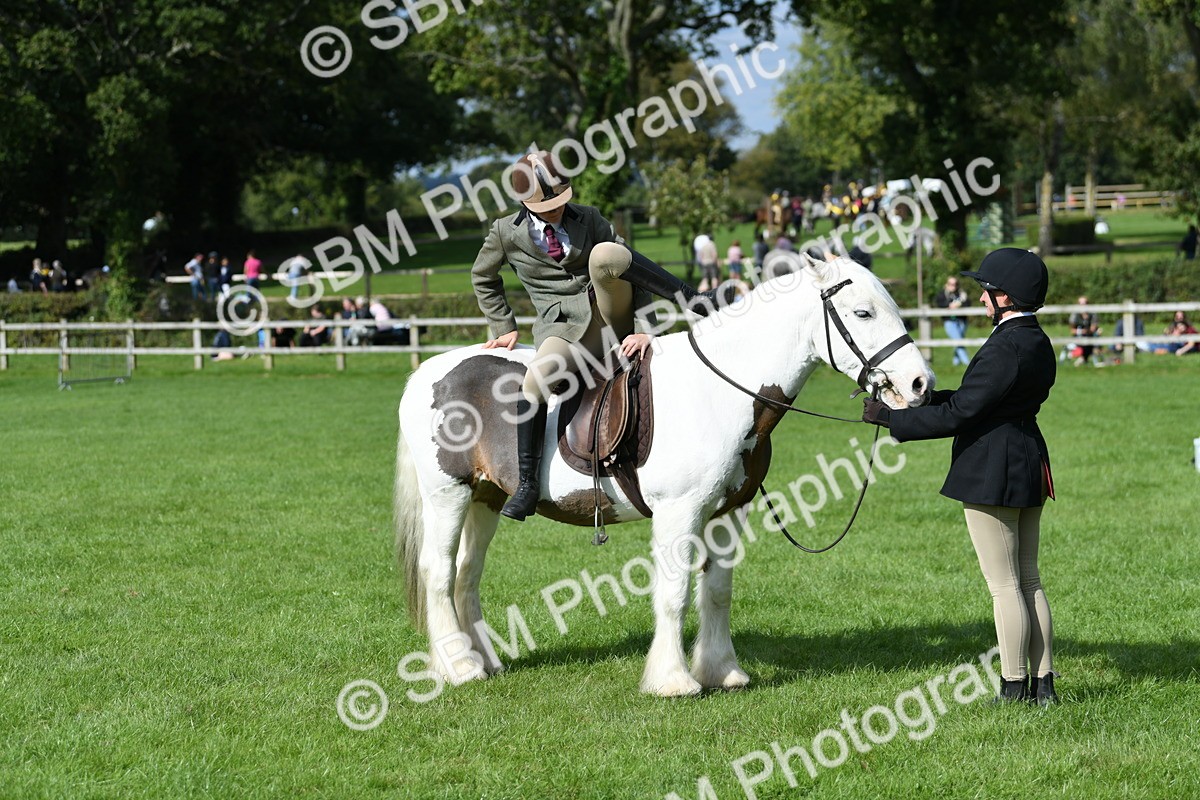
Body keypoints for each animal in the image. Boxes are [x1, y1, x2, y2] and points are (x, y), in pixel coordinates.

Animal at [394, 253, 935, 697]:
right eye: (863, 313)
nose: (920, 384)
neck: (719, 390)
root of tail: (427, 373)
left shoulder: (728, 513)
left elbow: (716, 592)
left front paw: (721, 672)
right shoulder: (679, 513)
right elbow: (674, 594)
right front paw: (672, 681)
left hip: (485, 498)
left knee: (467, 574)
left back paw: (483, 660)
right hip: (447, 495)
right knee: (439, 572)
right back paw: (459, 668)